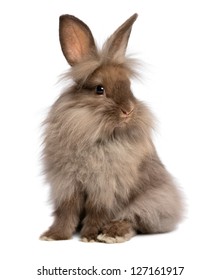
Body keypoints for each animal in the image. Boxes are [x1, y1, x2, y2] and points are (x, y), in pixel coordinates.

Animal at [40, 13, 184, 243]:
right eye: (100, 89)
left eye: (129, 86)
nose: (128, 110)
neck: (97, 135)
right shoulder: (67, 185)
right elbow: (66, 212)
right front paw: (54, 235)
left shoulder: (106, 188)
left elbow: (97, 213)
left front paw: (90, 236)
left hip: (151, 201)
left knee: (133, 220)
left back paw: (111, 234)